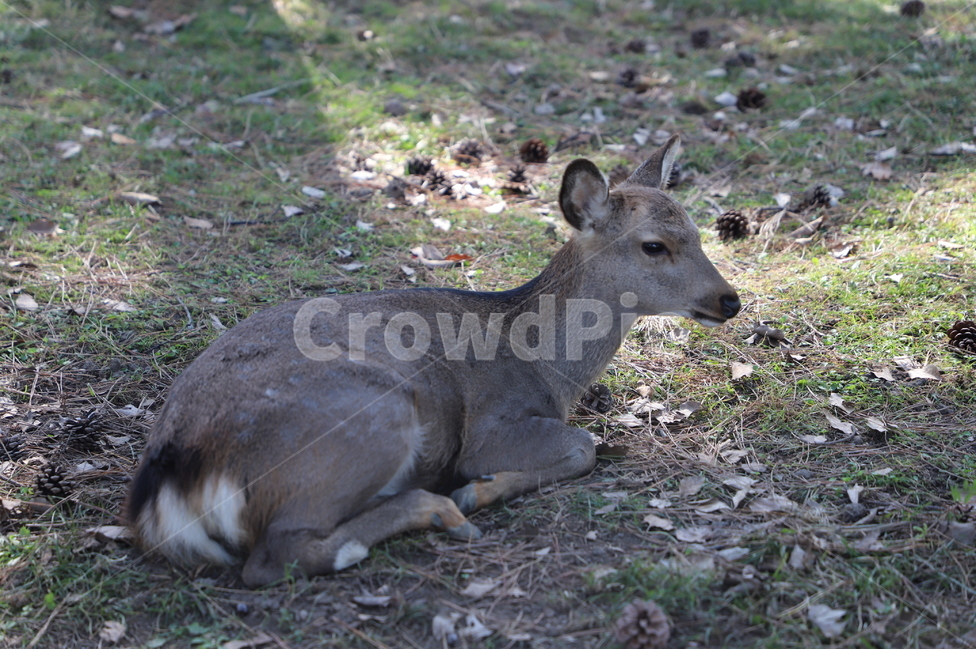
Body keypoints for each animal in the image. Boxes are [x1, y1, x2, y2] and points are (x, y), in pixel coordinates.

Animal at [126, 135, 740, 587]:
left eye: (698, 231)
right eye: (654, 245)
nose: (729, 300)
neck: (546, 367)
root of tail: (172, 473)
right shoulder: (492, 423)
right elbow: (581, 446)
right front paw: (479, 488)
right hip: (371, 418)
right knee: (276, 557)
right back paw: (437, 508)